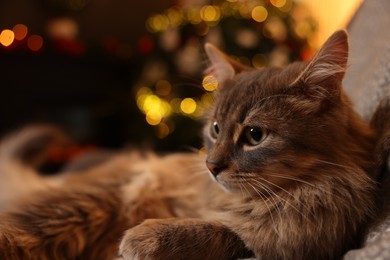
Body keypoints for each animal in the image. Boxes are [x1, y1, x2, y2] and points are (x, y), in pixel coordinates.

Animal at [0, 29, 380, 258]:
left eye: (255, 135)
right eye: (215, 128)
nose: (211, 167)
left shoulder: (283, 243)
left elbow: (214, 233)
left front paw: (142, 237)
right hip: (81, 204)